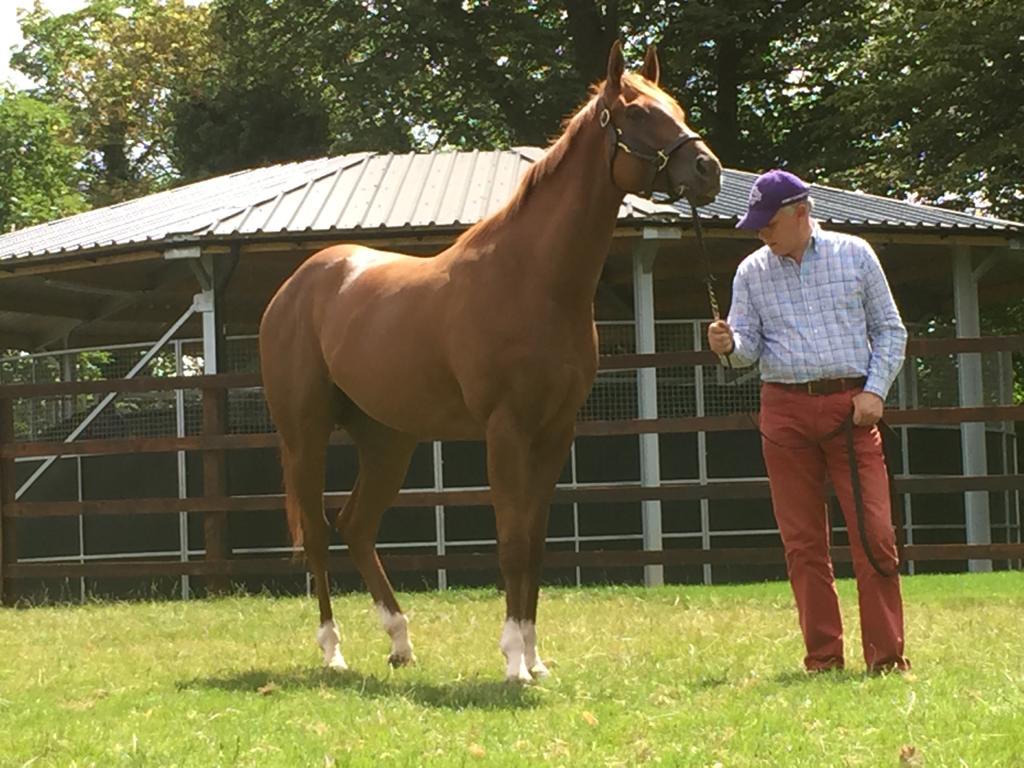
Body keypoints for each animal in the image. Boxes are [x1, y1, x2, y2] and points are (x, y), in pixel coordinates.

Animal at [258, 41, 720, 684]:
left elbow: (536, 541)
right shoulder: (505, 430)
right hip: (306, 434)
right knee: (322, 535)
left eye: (675, 107)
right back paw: (334, 652)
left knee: (356, 525)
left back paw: (400, 643)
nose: (708, 170)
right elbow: (511, 538)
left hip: (388, 439)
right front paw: (513, 662)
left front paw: (535, 657)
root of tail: (296, 286)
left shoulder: (555, 432)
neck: (534, 279)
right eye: (636, 114)